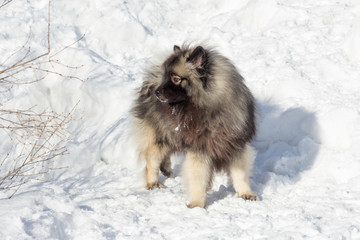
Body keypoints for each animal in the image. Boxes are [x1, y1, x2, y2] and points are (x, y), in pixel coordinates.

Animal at [131, 43, 258, 208]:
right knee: (152, 158)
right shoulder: (200, 149)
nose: (157, 92)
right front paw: (197, 204)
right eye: (165, 77)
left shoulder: (236, 146)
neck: (212, 108)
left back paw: (166, 169)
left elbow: (240, 175)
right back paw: (153, 183)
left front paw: (245, 194)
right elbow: (199, 179)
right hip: (161, 135)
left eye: (176, 79)